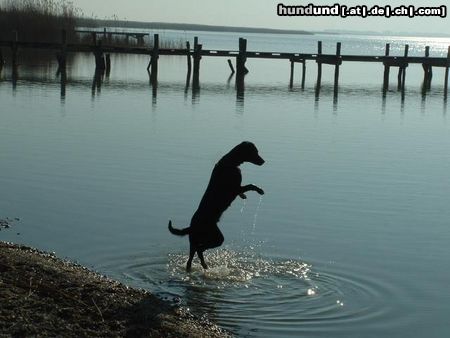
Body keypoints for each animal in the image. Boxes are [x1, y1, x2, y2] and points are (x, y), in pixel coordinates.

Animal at [171, 142, 266, 272]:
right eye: (255, 152)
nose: (263, 161)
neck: (230, 162)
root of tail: (191, 226)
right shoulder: (235, 188)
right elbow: (250, 185)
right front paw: (259, 190)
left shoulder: (237, 188)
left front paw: (244, 196)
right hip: (216, 237)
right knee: (200, 250)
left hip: (194, 241)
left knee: (192, 256)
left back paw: (203, 266)